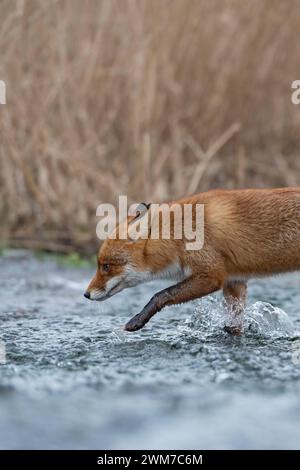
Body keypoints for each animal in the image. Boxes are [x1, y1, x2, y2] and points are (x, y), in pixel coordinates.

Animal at [84, 187, 300, 334]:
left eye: (106, 266)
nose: (86, 294)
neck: (178, 235)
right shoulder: (234, 282)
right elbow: (234, 325)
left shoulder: (212, 276)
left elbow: (161, 294)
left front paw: (137, 320)